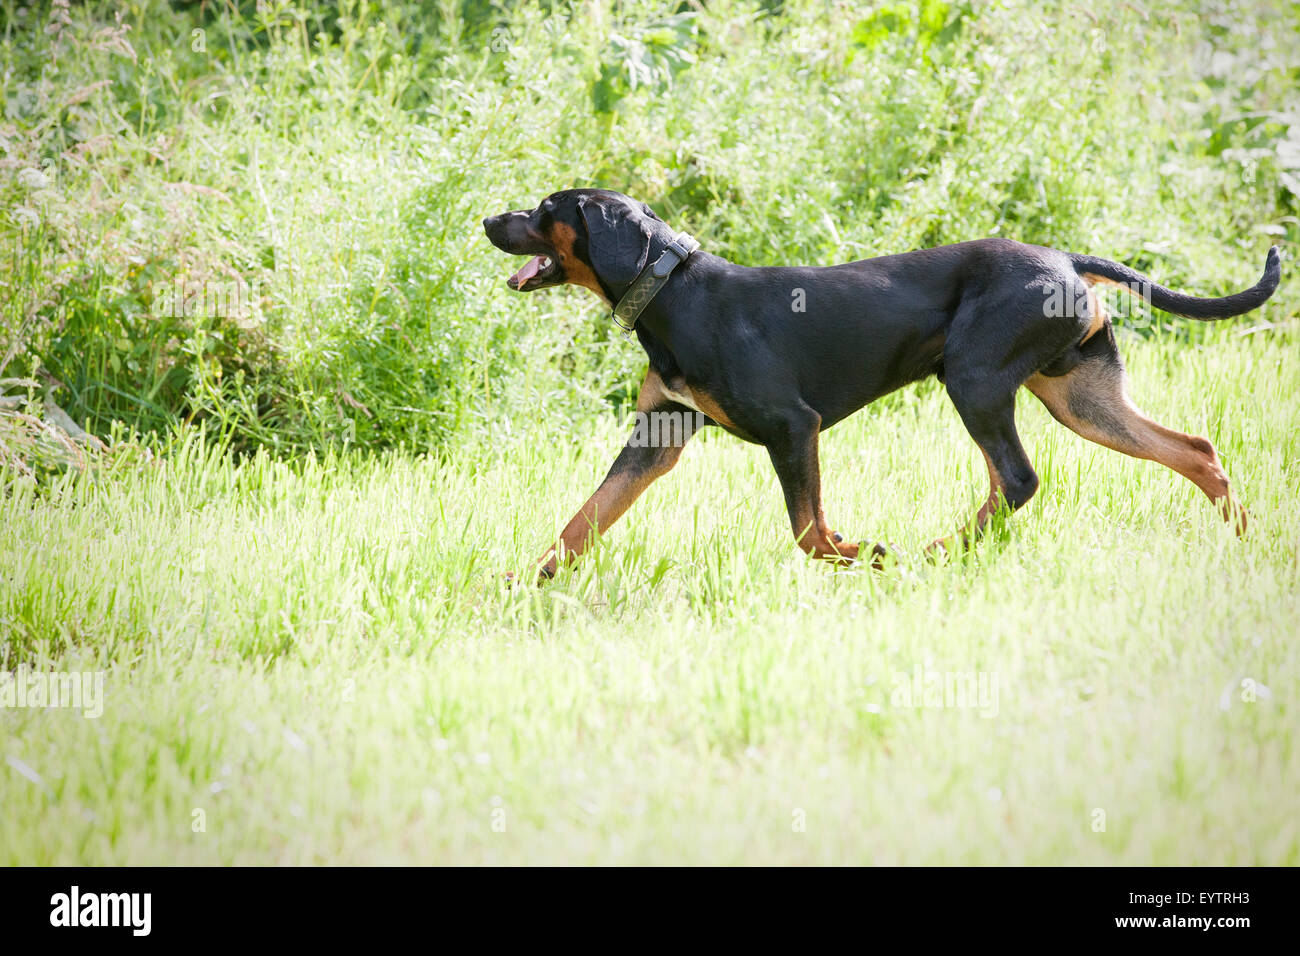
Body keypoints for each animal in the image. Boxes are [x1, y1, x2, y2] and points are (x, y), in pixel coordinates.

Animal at [486, 184, 1279, 574]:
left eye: (546, 211)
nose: (489, 219)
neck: (675, 293)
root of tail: (1065, 260)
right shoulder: (657, 439)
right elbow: (581, 521)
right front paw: (519, 585)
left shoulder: (792, 428)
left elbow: (809, 530)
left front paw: (860, 553)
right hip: (1078, 398)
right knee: (1194, 451)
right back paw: (1247, 540)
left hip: (975, 381)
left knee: (1018, 479)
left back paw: (934, 553)